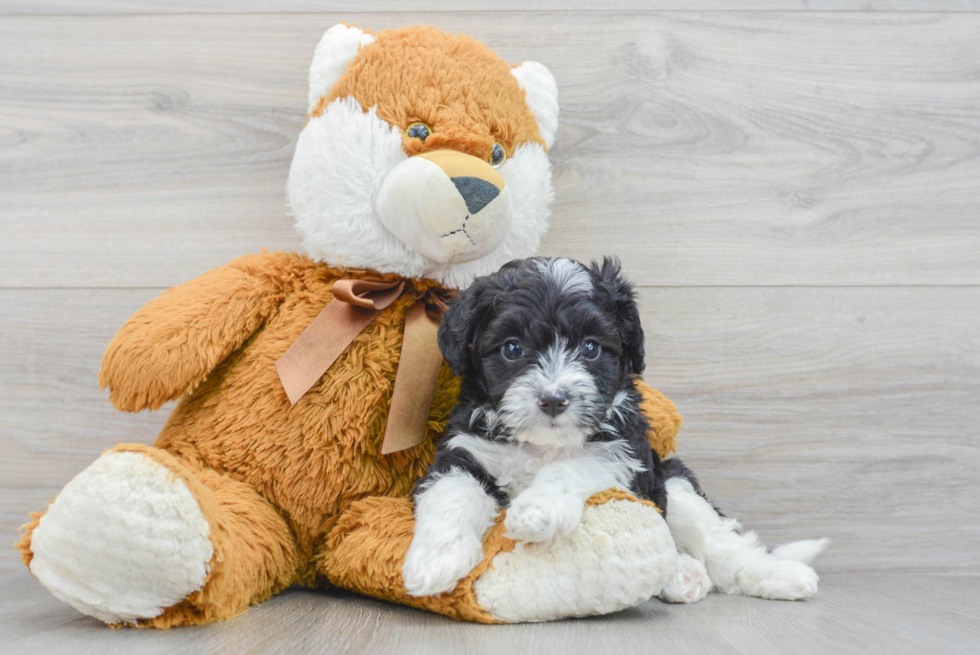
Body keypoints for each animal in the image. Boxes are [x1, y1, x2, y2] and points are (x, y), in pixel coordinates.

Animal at [404, 258, 828, 604]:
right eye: (512, 348)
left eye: (591, 348)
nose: (554, 400)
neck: (544, 445)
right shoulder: (465, 450)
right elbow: (452, 492)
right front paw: (434, 560)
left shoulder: (624, 453)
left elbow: (575, 466)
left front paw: (538, 510)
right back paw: (682, 574)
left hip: (674, 481)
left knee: (720, 542)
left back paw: (775, 574)